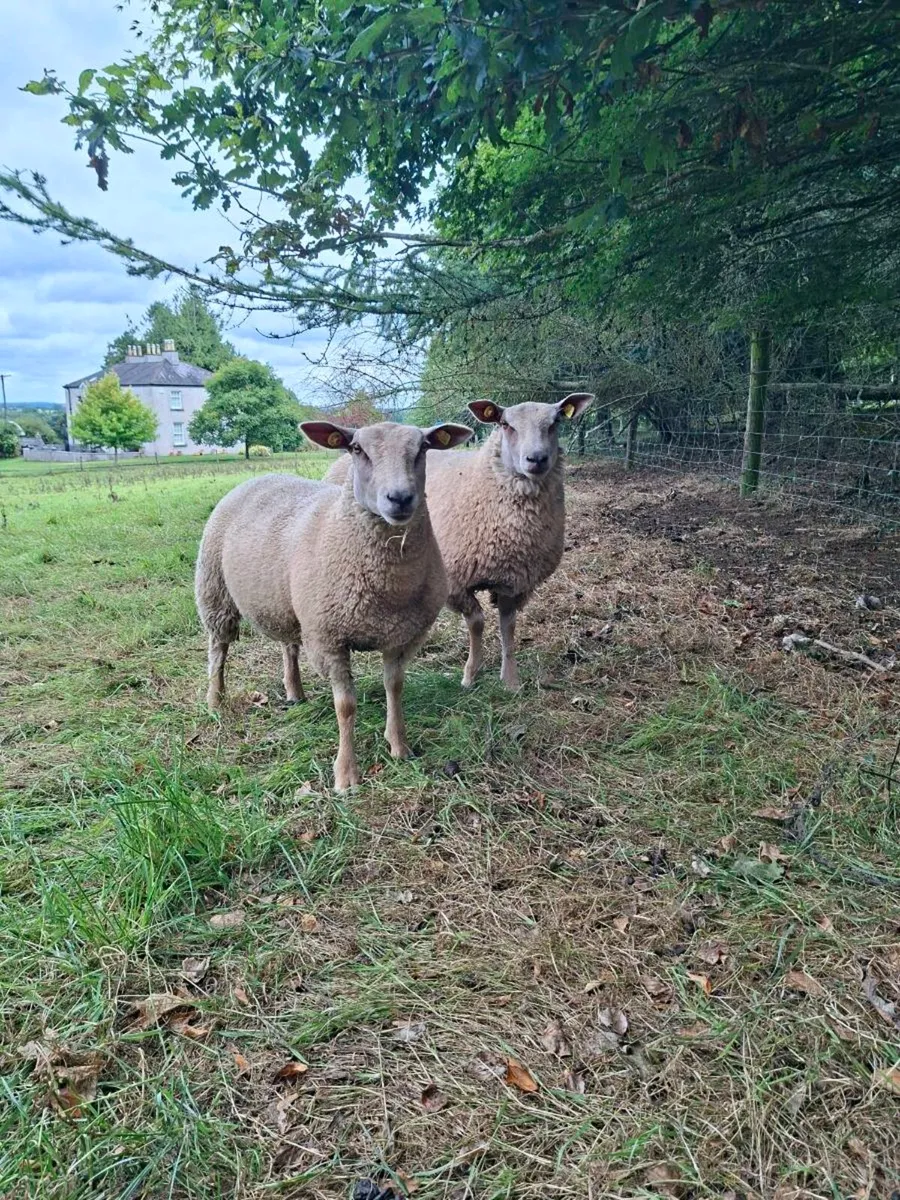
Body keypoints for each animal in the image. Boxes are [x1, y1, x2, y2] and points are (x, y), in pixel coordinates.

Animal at [195, 419, 472, 790]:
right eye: (356, 449)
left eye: (424, 447)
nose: (400, 498)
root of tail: (260, 477)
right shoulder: (330, 640)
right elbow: (346, 706)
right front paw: (346, 775)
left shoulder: (402, 637)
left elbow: (395, 687)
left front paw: (399, 746)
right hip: (215, 591)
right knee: (218, 649)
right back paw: (215, 700)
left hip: (291, 607)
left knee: (289, 645)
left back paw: (294, 691)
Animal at [325, 394, 593, 690]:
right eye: (505, 424)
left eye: (555, 422)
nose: (536, 459)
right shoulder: (456, 582)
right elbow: (477, 623)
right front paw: (470, 674)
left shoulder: (513, 580)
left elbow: (508, 626)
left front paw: (510, 679)